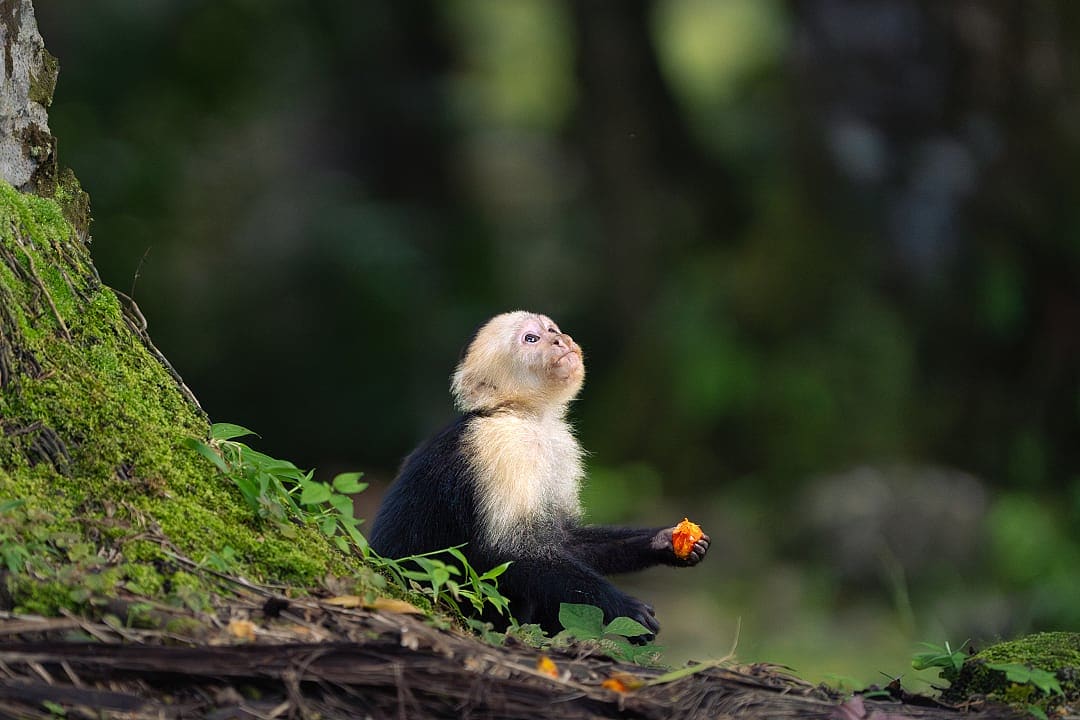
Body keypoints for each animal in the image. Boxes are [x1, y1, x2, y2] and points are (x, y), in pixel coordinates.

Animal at [368, 311, 709, 639]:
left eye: (551, 329)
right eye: (531, 339)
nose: (560, 339)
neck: (527, 415)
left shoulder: (561, 445)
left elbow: (564, 540)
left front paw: (666, 541)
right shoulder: (504, 445)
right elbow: (510, 550)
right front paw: (625, 608)